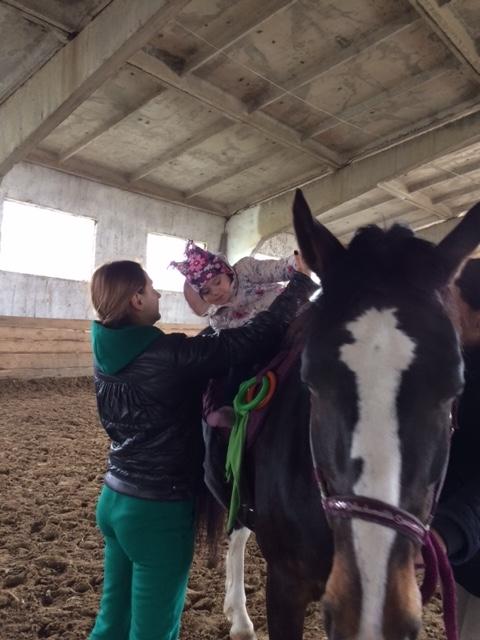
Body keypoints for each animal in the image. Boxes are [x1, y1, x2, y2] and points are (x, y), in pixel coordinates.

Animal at [206, 190, 480, 640]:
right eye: (310, 379)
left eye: (455, 386)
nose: (372, 611)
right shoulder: (285, 586)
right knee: (237, 535)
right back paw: (241, 620)